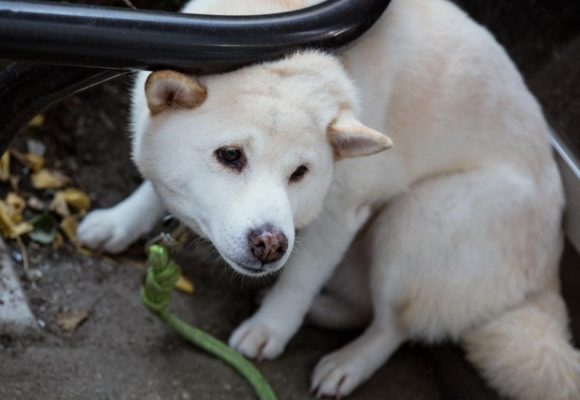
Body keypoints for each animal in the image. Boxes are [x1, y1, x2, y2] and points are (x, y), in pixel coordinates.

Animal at [77, 0, 580, 398]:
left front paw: (272, 328)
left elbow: (301, 279)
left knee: (392, 326)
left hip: (416, 219)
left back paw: (348, 363)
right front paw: (121, 220)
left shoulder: (342, 213)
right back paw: (322, 310)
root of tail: (550, 273)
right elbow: (152, 183)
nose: (270, 245)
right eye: (230, 156)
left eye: (300, 174)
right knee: (364, 307)